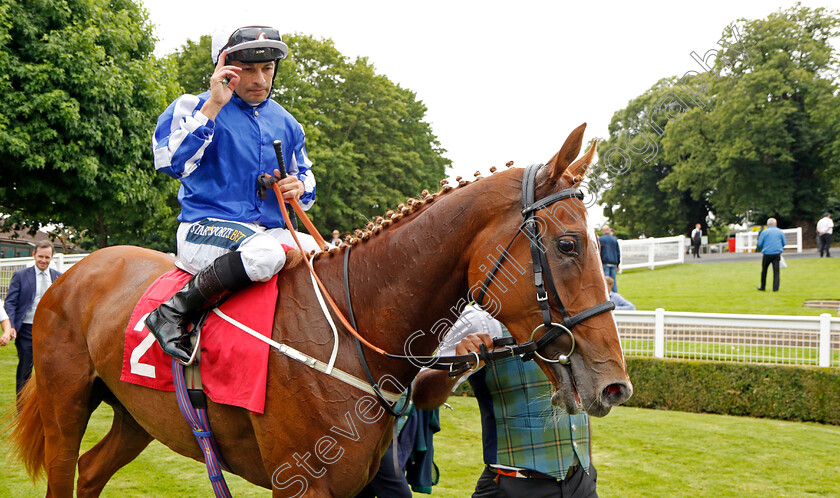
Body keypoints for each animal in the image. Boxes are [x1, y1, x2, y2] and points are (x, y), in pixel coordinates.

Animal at [9, 122, 632, 496]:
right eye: (568, 245)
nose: (613, 384)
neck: (353, 332)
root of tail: (76, 270)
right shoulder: (300, 482)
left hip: (139, 414)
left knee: (92, 471)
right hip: (66, 405)